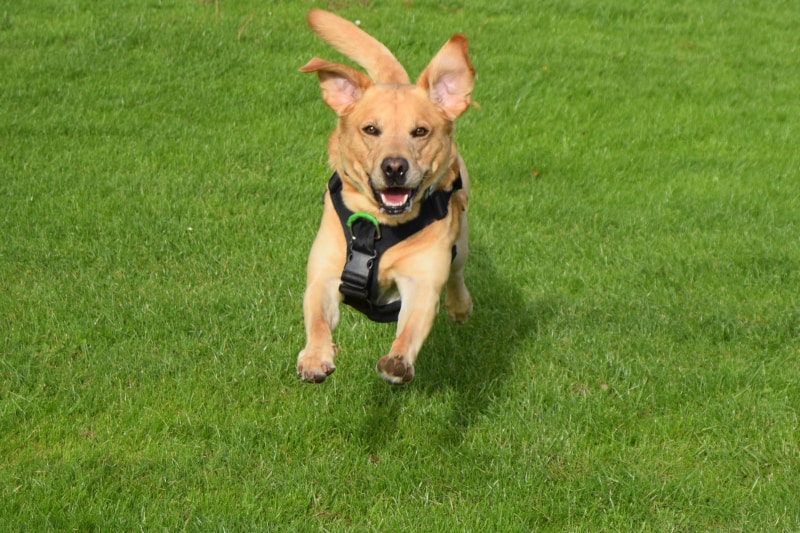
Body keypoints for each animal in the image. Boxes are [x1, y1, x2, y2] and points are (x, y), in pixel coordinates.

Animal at [298, 8, 476, 382]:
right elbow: (318, 318)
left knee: (457, 271)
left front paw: (397, 361)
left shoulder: (421, 282)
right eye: (371, 129)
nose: (395, 167)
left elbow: (410, 327)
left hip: (461, 236)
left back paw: (459, 306)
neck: (379, 225)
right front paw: (315, 356)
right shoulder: (324, 274)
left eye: (420, 131)